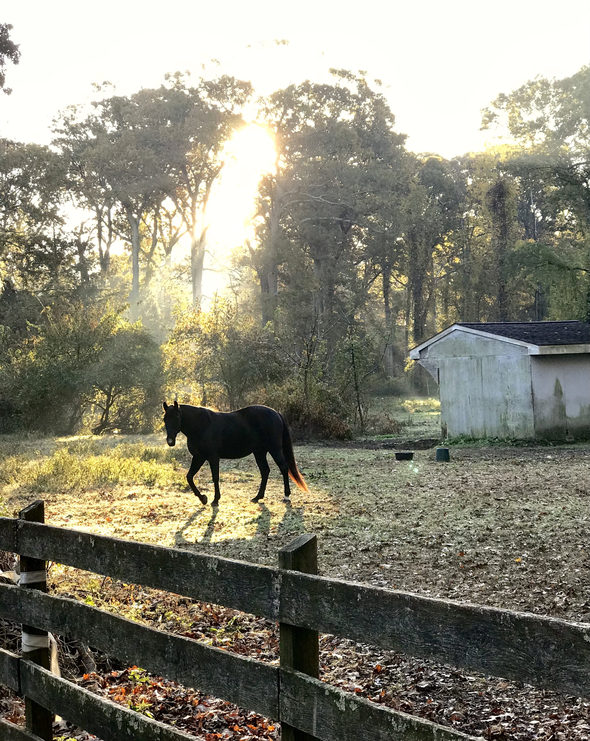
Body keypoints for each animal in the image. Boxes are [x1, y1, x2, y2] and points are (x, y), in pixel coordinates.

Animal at [162, 401, 308, 507]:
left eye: (176, 417)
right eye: (165, 419)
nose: (170, 441)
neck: (201, 426)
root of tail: (276, 413)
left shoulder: (212, 457)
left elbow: (215, 477)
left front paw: (215, 500)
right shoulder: (199, 457)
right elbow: (189, 477)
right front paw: (203, 498)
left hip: (274, 449)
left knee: (283, 468)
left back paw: (286, 496)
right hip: (259, 452)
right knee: (265, 471)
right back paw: (257, 497)